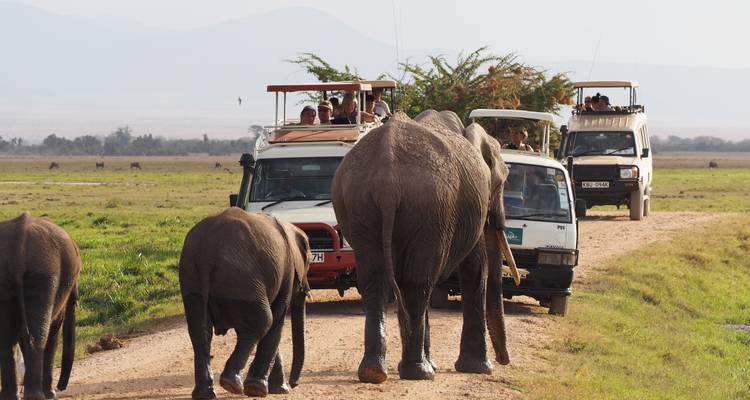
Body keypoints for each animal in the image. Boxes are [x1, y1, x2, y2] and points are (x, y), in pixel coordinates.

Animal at [0, 213, 80, 400]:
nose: (61, 387)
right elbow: (54, 330)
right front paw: (51, 394)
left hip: (8, 274)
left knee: (7, 339)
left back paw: (14, 396)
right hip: (44, 273)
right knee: (38, 335)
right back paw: (37, 396)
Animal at [179, 208, 311, 399]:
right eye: (309, 262)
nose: (294, 384)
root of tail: (206, 252)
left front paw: (278, 389)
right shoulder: (286, 272)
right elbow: (276, 321)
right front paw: (263, 389)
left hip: (191, 275)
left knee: (200, 331)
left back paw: (205, 394)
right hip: (242, 280)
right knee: (264, 321)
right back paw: (233, 385)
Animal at [331, 111, 519, 383]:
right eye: (501, 185)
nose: (504, 361)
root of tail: (387, 183)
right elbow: (475, 269)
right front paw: (480, 368)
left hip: (360, 205)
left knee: (376, 281)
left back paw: (375, 372)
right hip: (430, 209)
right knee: (418, 283)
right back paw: (419, 372)